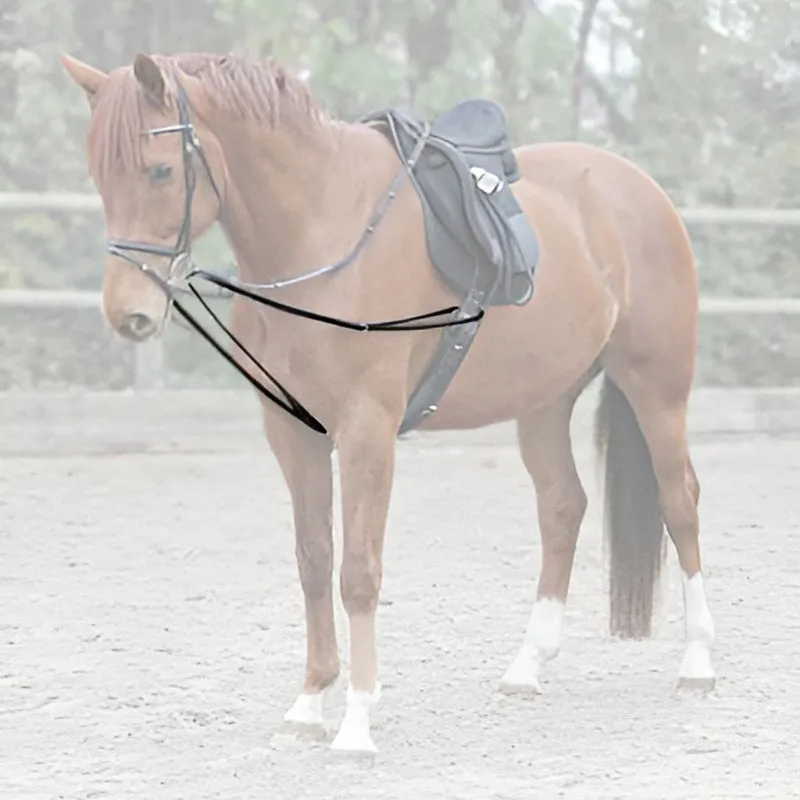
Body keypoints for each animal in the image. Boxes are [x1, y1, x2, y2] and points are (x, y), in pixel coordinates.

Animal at [60, 50, 716, 755]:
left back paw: (698, 663)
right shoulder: (294, 432)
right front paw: (309, 703)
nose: (127, 313)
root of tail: (638, 188)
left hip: (656, 386)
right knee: (563, 507)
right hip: (544, 400)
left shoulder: (365, 429)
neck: (319, 236)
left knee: (679, 501)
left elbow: (358, 570)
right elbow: (314, 560)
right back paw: (527, 665)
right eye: (98, 174)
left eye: (160, 170)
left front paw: (355, 724)